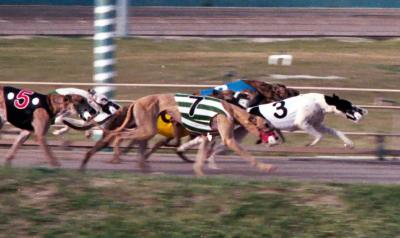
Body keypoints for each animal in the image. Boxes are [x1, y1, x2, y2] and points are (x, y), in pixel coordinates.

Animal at [80, 92, 282, 175]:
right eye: (267, 125)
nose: (277, 138)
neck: (231, 109)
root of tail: (137, 101)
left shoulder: (207, 136)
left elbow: (201, 156)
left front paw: (199, 172)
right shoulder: (228, 138)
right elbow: (247, 155)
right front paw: (266, 167)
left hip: (145, 128)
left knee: (129, 139)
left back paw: (142, 166)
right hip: (146, 128)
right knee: (119, 136)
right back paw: (117, 155)